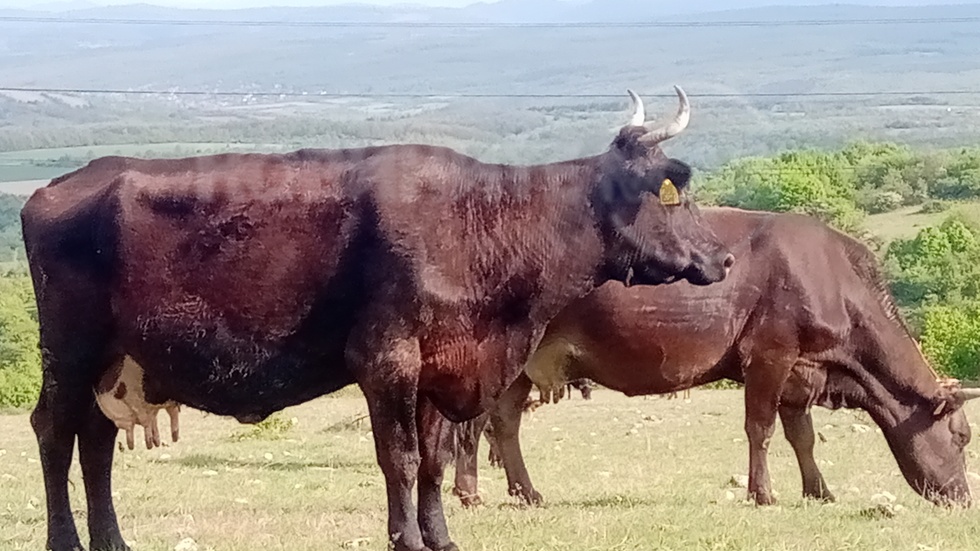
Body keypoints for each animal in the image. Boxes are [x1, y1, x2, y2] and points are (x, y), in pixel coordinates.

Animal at [21, 86, 736, 551]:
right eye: (673, 191)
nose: (724, 256)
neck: (482, 222)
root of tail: (60, 185)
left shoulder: (442, 369)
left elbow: (434, 461)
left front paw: (441, 538)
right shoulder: (386, 360)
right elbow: (398, 457)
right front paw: (406, 539)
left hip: (116, 364)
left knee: (96, 441)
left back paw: (112, 542)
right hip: (70, 352)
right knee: (56, 434)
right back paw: (66, 541)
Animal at [452, 209, 980, 512]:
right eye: (961, 437)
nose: (962, 498)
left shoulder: (802, 371)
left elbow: (802, 436)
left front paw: (819, 492)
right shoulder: (770, 354)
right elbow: (761, 429)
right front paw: (763, 494)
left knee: (503, 423)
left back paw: (524, 493)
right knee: (474, 426)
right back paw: (471, 493)